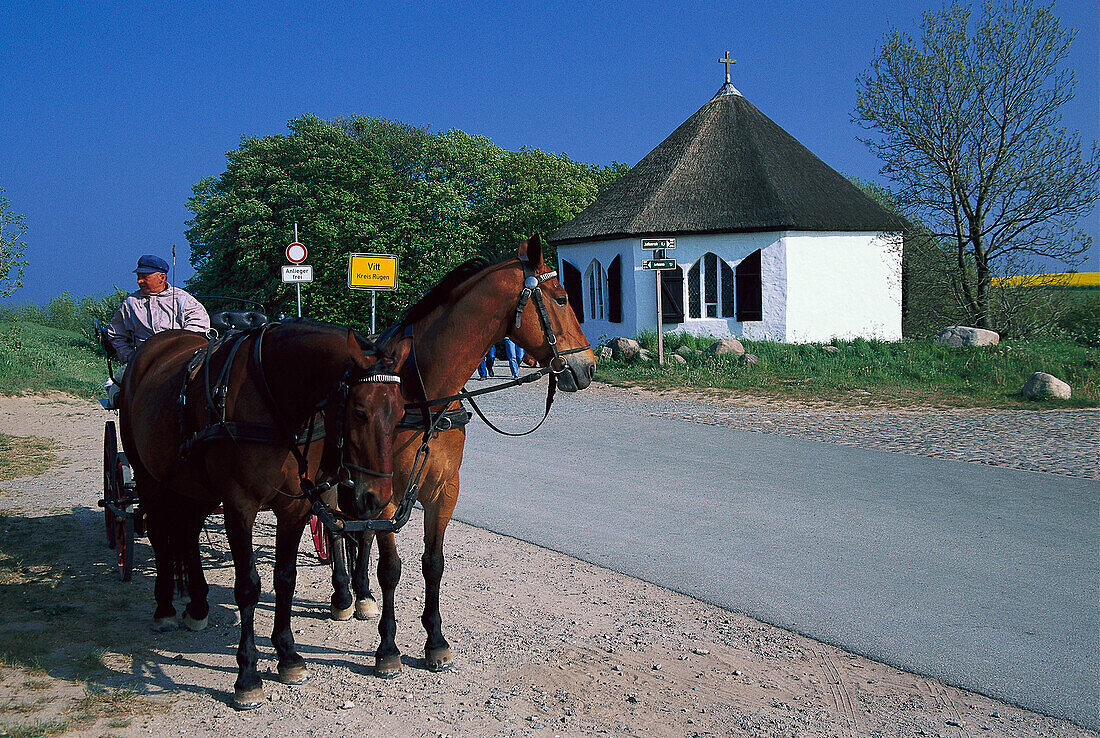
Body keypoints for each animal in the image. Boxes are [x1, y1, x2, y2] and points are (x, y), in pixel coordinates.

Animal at [120, 321, 411, 708]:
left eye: (400, 414)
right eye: (360, 412)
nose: (377, 498)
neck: (275, 398)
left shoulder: (295, 508)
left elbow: (285, 578)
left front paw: (287, 655)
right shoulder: (239, 507)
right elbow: (247, 586)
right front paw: (247, 676)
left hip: (194, 487)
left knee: (188, 534)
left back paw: (197, 604)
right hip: (148, 477)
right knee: (159, 533)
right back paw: (165, 606)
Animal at [327, 235, 594, 677]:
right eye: (561, 298)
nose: (587, 366)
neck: (422, 394)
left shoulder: (442, 490)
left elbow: (433, 564)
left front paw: (435, 641)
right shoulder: (388, 494)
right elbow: (391, 568)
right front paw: (388, 648)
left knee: (357, 531)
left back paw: (361, 595)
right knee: (334, 530)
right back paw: (344, 596)